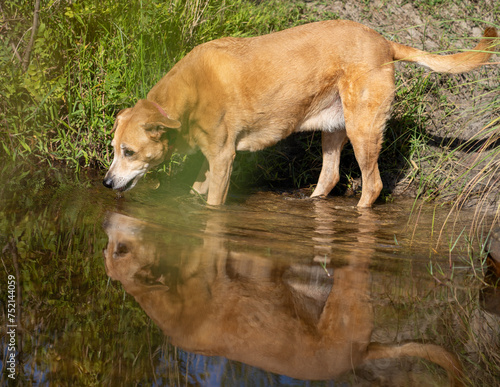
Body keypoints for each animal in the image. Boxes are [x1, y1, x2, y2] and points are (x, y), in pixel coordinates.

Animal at [102, 19, 496, 208]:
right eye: (113, 149)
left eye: (129, 152)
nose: (105, 183)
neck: (188, 96)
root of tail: (384, 42)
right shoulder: (211, 159)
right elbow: (197, 190)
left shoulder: (223, 157)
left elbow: (213, 204)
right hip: (334, 128)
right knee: (331, 176)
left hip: (363, 129)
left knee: (372, 185)